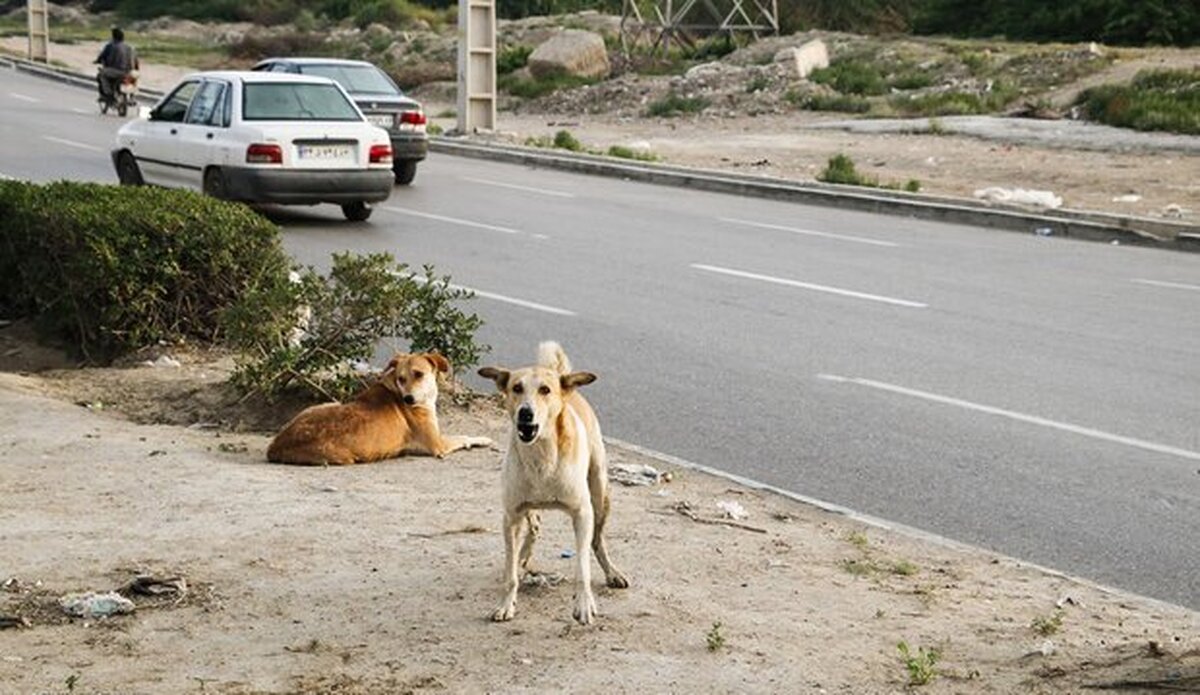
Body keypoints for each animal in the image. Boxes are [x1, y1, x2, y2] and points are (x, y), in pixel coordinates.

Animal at [267, 352, 492, 468]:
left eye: (419, 374)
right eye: (401, 378)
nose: (408, 399)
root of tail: (276, 447)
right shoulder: (438, 444)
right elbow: (463, 436)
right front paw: (484, 440)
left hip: (326, 405)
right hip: (344, 457)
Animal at [477, 343, 628, 624]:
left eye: (545, 390)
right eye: (516, 387)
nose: (525, 413)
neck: (541, 456)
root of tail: (566, 382)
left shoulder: (582, 513)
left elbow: (582, 567)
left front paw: (584, 604)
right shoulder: (510, 516)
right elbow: (509, 572)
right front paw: (506, 603)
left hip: (600, 491)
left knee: (596, 540)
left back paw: (612, 572)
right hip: (526, 507)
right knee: (534, 526)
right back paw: (523, 557)